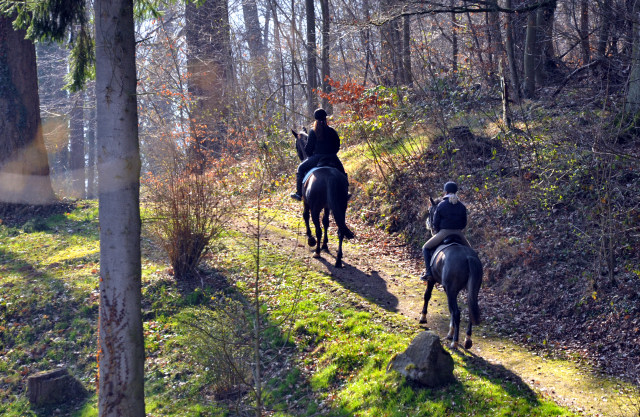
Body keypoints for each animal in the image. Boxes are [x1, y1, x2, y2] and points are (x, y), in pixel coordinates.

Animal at [292, 128, 352, 268]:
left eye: (296, 146)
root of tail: (330, 177)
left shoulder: (306, 202)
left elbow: (305, 216)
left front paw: (311, 239)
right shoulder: (327, 206)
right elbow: (326, 222)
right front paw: (325, 244)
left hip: (315, 208)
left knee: (318, 229)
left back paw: (317, 252)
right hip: (341, 207)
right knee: (340, 230)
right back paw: (338, 260)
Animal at [420, 195, 480, 348]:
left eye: (431, 211)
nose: (428, 224)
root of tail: (468, 257)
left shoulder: (433, 281)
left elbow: (427, 296)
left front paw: (423, 317)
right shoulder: (449, 289)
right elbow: (450, 309)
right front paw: (450, 332)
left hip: (452, 289)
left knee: (458, 312)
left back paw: (455, 342)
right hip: (471, 289)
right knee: (468, 310)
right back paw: (467, 340)